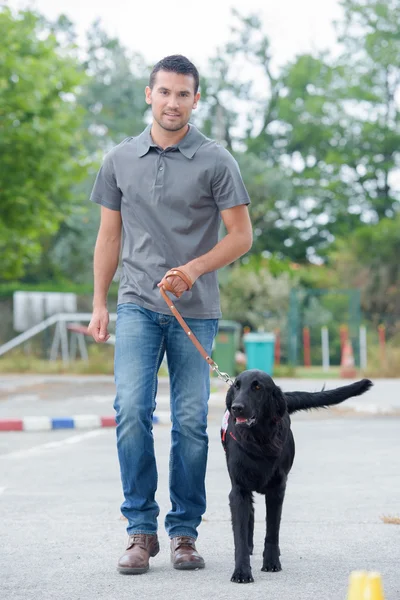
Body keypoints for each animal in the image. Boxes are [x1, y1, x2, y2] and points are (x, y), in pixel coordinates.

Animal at [220, 368, 374, 584]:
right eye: (236, 386)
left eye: (257, 387)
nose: (236, 408)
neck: (259, 439)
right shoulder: (239, 489)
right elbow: (240, 535)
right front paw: (242, 571)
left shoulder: (277, 489)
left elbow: (272, 530)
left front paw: (271, 562)